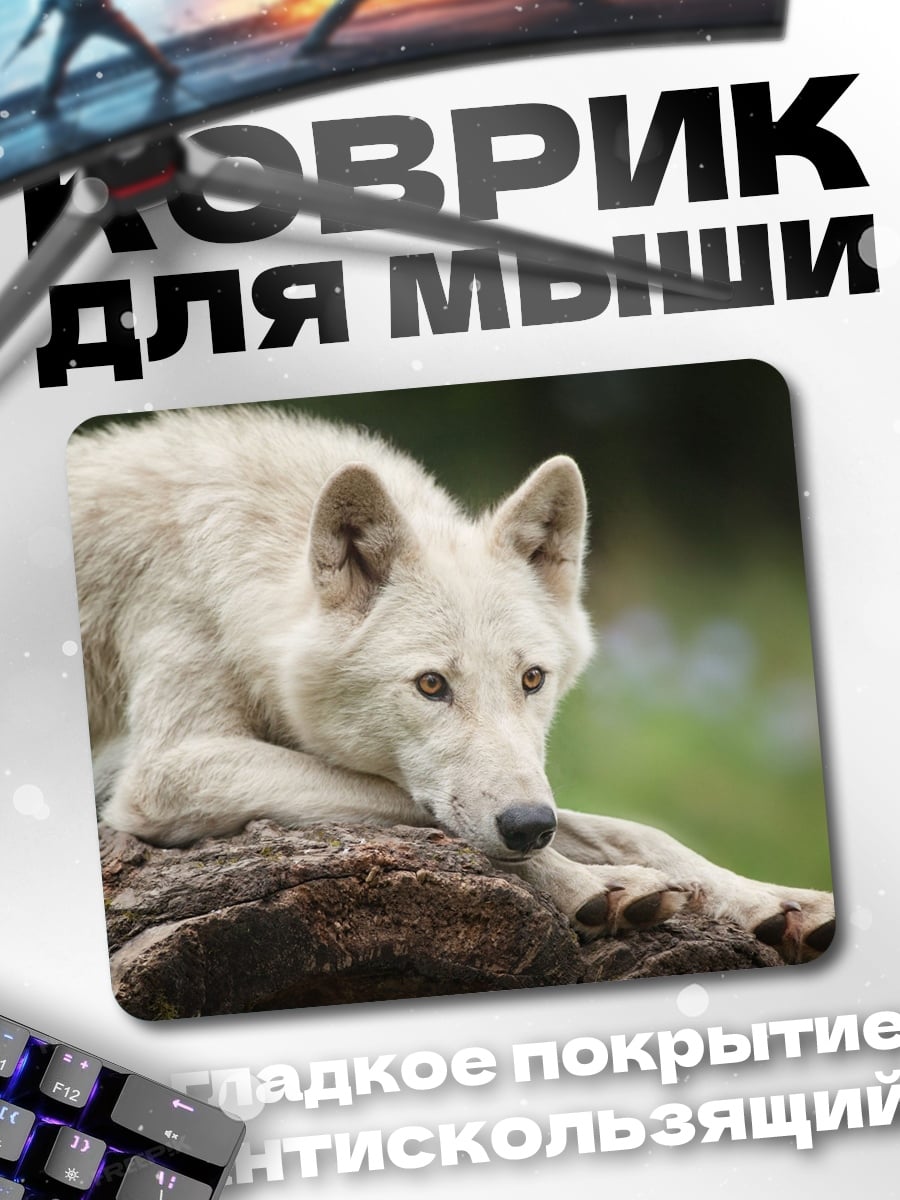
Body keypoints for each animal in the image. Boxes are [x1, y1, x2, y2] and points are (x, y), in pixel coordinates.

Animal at [67, 406, 834, 963]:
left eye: (532, 678)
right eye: (432, 685)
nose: (528, 826)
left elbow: (629, 828)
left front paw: (772, 901)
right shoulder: (164, 773)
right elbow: (417, 807)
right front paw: (596, 885)